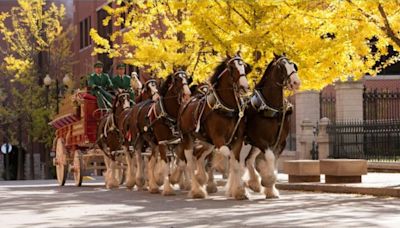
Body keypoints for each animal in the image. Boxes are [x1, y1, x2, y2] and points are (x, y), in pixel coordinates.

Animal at [244, 54, 300, 199]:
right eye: (282, 66)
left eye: (294, 65)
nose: (296, 82)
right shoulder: (260, 140)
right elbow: (269, 158)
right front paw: (267, 180)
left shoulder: (280, 142)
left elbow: (274, 161)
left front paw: (271, 189)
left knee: (248, 160)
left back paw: (253, 183)